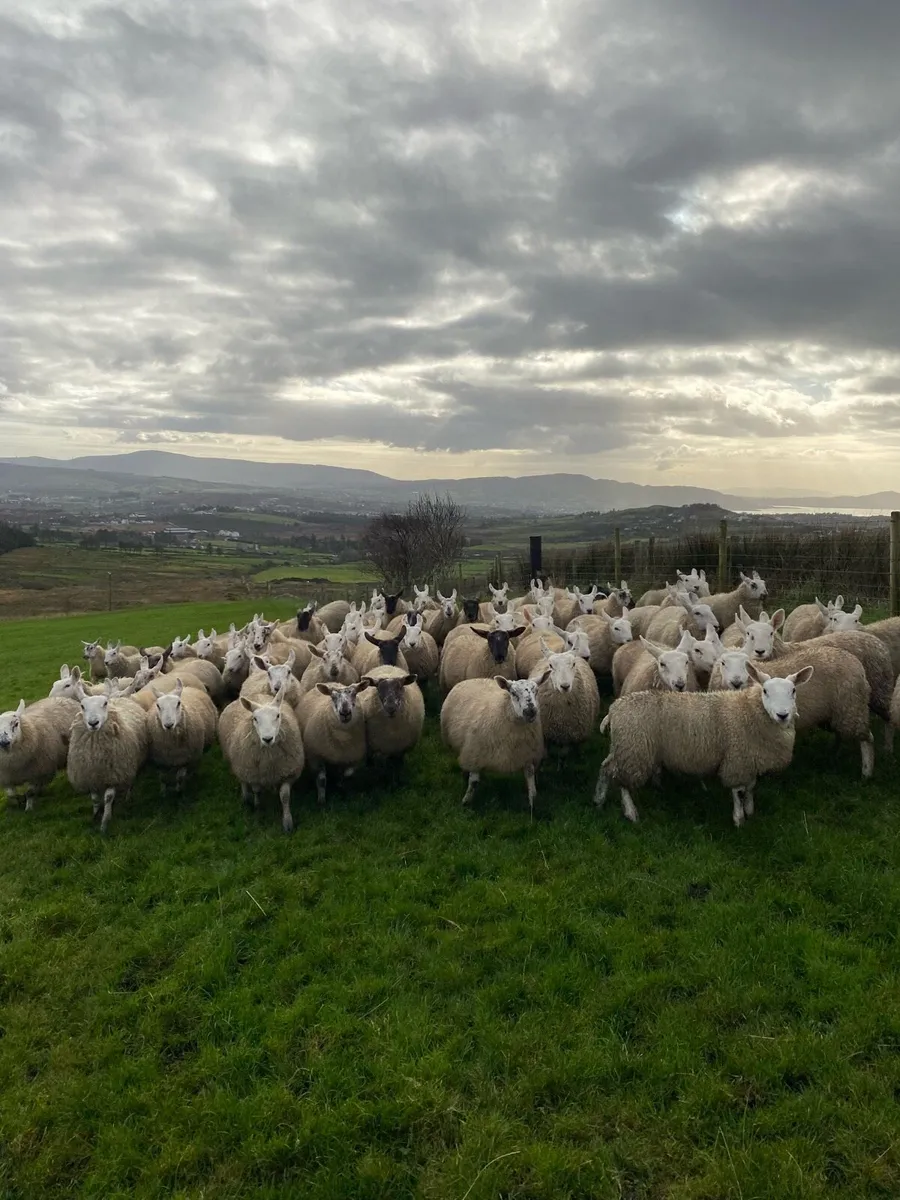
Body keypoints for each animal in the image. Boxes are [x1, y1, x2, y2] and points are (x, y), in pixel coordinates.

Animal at [67, 684, 150, 833]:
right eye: (82, 706)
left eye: (104, 703)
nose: (93, 723)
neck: (96, 755)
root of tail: (118, 698)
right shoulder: (90, 776)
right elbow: (95, 799)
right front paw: (95, 815)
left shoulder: (113, 775)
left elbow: (108, 798)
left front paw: (105, 822)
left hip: (129, 765)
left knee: (130, 782)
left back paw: (128, 797)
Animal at [218, 690, 305, 833]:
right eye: (255, 719)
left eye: (277, 715)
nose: (267, 739)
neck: (269, 758)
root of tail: (255, 694)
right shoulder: (254, 774)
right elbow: (256, 790)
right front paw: (257, 806)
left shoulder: (287, 773)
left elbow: (285, 796)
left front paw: (287, 822)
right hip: (238, 763)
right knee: (242, 780)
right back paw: (246, 798)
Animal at [440, 675, 547, 810]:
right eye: (513, 693)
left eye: (537, 691)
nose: (530, 711)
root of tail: (475, 678)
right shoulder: (475, 753)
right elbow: (473, 782)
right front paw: (466, 802)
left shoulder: (527, 755)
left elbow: (531, 781)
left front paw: (532, 804)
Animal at [595, 662, 814, 826]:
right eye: (766, 691)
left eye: (793, 690)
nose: (783, 715)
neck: (749, 710)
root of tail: (614, 709)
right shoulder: (736, 759)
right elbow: (738, 791)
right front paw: (739, 818)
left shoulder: (749, 760)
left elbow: (750, 787)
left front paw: (750, 810)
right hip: (634, 751)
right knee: (623, 783)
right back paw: (631, 812)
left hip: (623, 747)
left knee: (606, 766)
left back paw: (599, 798)